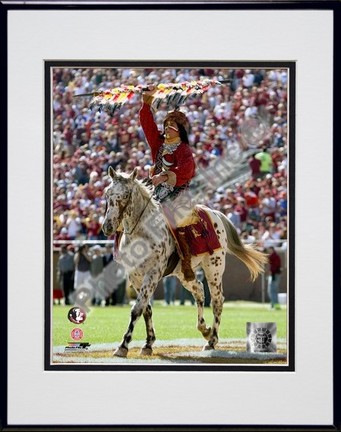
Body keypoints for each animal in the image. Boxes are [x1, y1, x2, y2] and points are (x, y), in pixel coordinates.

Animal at [102, 166, 266, 358]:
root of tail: (215, 214)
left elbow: (137, 309)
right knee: (199, 291)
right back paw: (205, 329)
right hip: (184, 274)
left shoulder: (152, 274)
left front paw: (123, 346)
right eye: (107, 193)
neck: (142, 233)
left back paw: (212, 340)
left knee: (217, 300)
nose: (108, 227)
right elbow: (146, 309)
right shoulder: (135, 276)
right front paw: (148, 343)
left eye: (126, 194)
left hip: (214, 268)